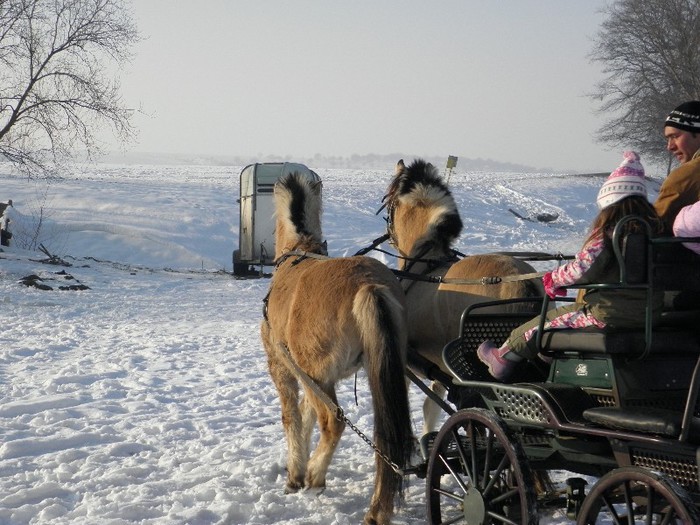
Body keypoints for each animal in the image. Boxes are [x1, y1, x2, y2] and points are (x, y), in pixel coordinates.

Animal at [262, 172, 416, 524]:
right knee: (386, 437)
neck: (297, 252)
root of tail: (369, 286)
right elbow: (304, 415)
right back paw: (377, 509)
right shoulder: (307, 376)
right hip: (381, 372)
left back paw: (315, 477)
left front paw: (295, 475)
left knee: (334, 421)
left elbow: (292, 417)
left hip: (319, 375)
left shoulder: (285, 369)